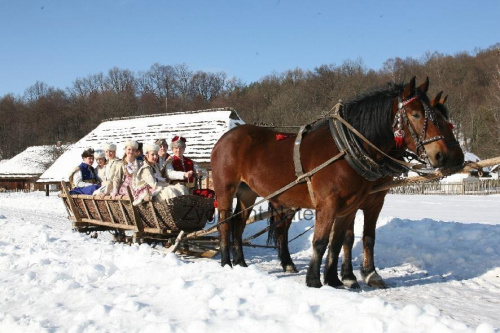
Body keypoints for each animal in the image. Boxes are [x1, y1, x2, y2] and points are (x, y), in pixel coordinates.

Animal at [209, 76, 462, 286]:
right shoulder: (329, 204)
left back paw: (242, 263)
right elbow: (321, 241)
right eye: (416, 115)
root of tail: (226, 137)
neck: (347, 150)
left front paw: (335, 279)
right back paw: (226, 262)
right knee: (224, 223)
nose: (445, 155)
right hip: (226, 188)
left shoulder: (352, 206)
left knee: (240, 225)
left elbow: (342, 241)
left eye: (444, 119)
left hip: (249, 192)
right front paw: (315, 280)